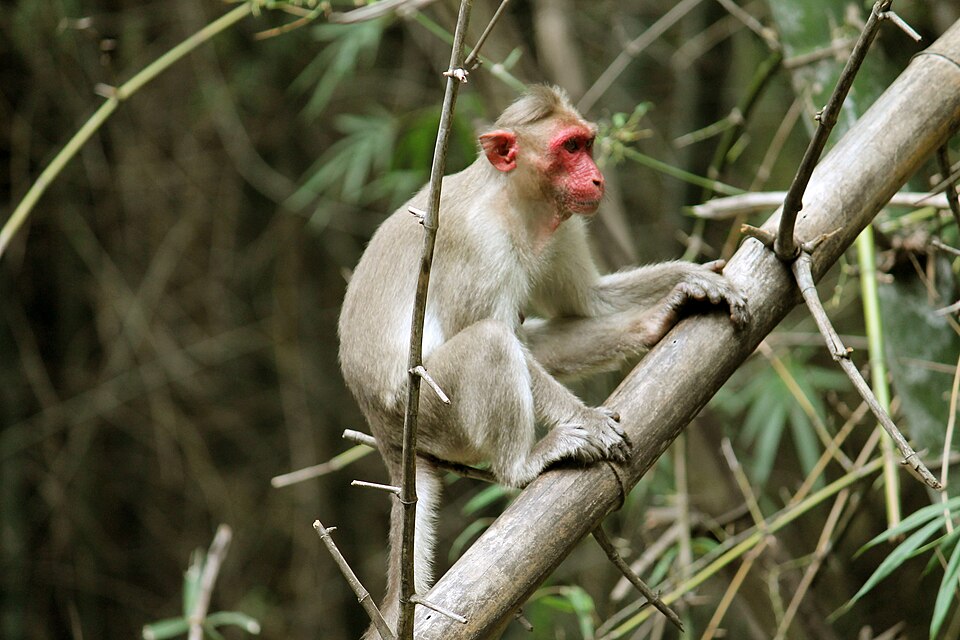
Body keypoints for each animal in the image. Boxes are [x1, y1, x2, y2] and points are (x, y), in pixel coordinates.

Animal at [337, 85, 748, 638]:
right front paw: (588, 420)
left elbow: (588, 304)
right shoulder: (476, 246)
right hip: (423, 412)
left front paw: (685, 282)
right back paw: (524, 463)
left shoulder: (564, 223)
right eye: (569, 148)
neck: (515, 202)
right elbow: (486, 330)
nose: (596, 178)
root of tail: (386, 437)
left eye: (587, 143)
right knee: (491, 341)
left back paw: (651, 323)